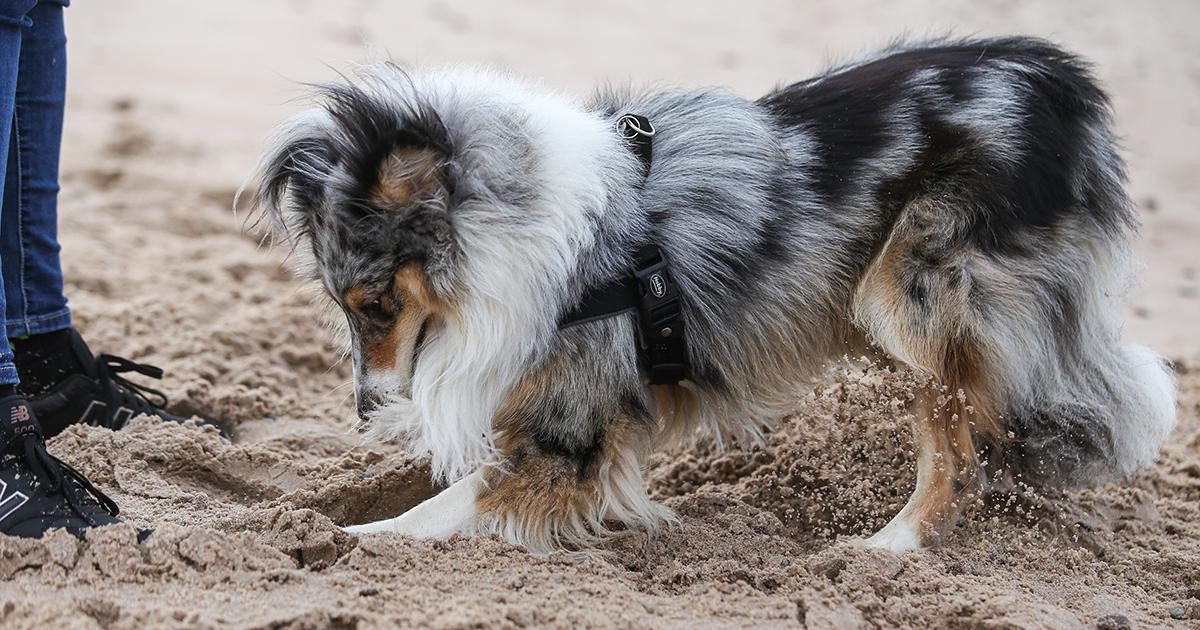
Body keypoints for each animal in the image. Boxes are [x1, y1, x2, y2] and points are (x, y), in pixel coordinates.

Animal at [241, 36, 1171, 552]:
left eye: (375, 306)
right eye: (345, 309)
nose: (364, 411)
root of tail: (1059, 84)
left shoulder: (569, 428)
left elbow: (438, 511)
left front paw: (348, 541)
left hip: (909, 297)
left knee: (957, 439)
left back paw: (890, 546)